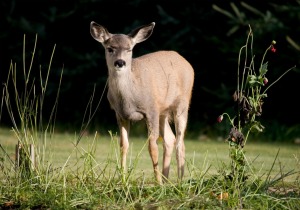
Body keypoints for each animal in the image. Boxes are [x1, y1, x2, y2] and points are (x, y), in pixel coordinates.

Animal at [89, 20, 195, 184]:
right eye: (110, 48)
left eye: (129, 49)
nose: (120, 62)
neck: (129, 98)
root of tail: (187, 63)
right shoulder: (120, 115)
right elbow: (123, 145)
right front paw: (123, 179)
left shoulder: (151, 110)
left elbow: (152, 147)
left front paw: (157, 183)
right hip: (163, 111)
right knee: (170, 139)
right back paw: (167, 180)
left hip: (182, 103)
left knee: (180, 142)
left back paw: (178, 181)